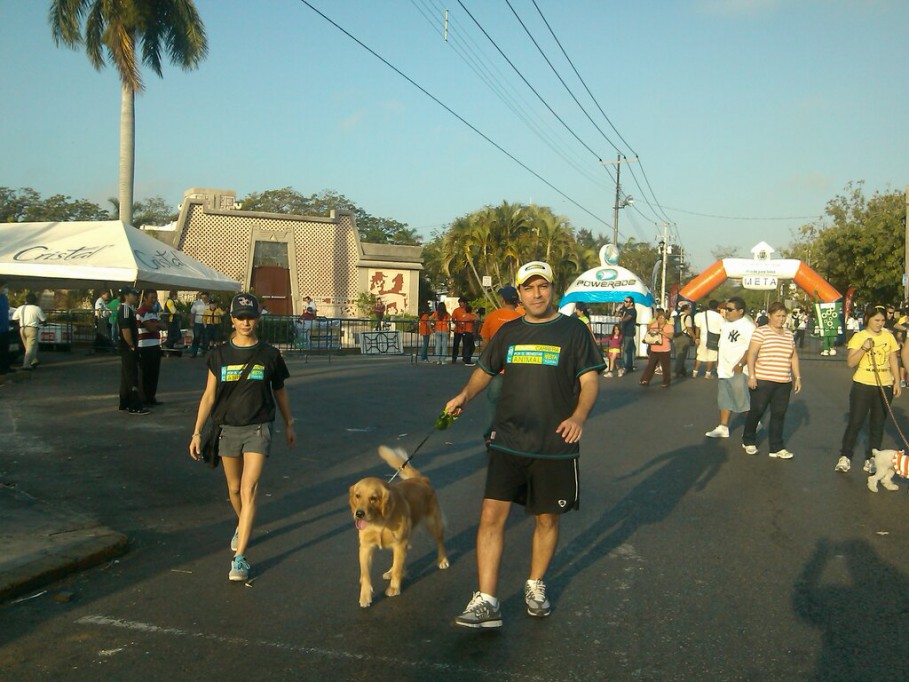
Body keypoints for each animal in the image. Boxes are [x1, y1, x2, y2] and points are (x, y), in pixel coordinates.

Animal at [348, 446, 446, 604]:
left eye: (373, 498)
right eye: (357, 495)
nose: (359, 513)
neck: (379, 521)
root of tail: (421, 479)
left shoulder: (399, 543)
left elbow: (398, 569)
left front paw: (393, 588)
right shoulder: (366, 547)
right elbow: (365, 574)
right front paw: (365, 596)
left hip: (433, 524)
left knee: (440, 542)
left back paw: (443, 560)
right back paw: (391, 571)